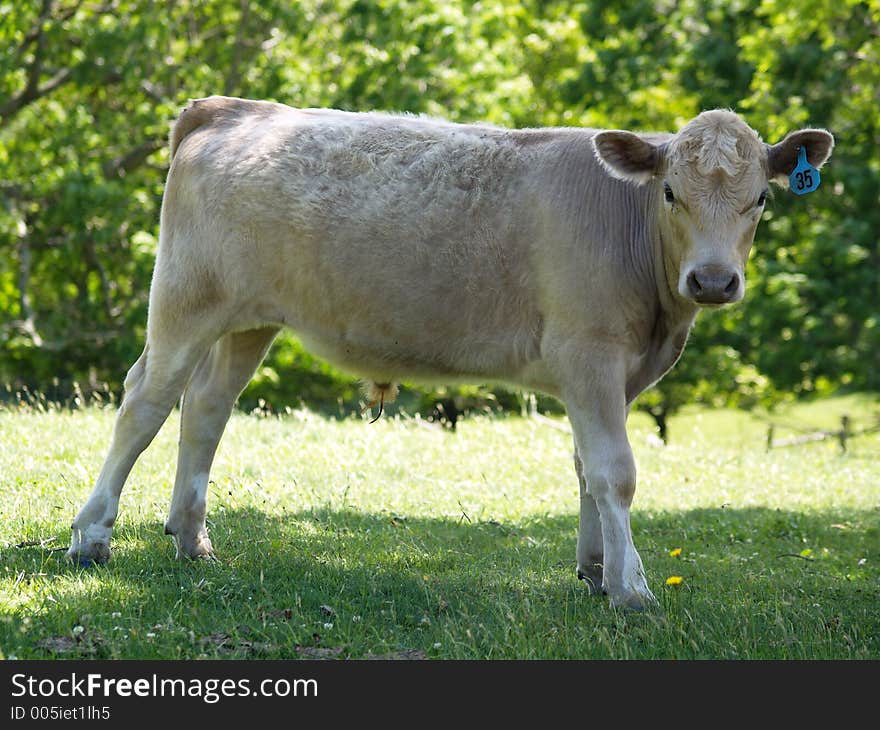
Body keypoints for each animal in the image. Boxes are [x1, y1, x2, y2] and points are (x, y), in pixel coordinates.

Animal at [67, 96, 832, 608]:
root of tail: (233, 109)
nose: (713, 280)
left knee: (205, 411)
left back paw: (192, 540)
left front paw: (595, 572)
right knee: (144, 404)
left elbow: (586, 469)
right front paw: (633, 588)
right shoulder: (588, 355)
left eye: (760, 199)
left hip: (250, 319)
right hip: (186, 300)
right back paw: (92, 536)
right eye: (671, 192)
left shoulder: (607, 376)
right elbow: (615, 473)